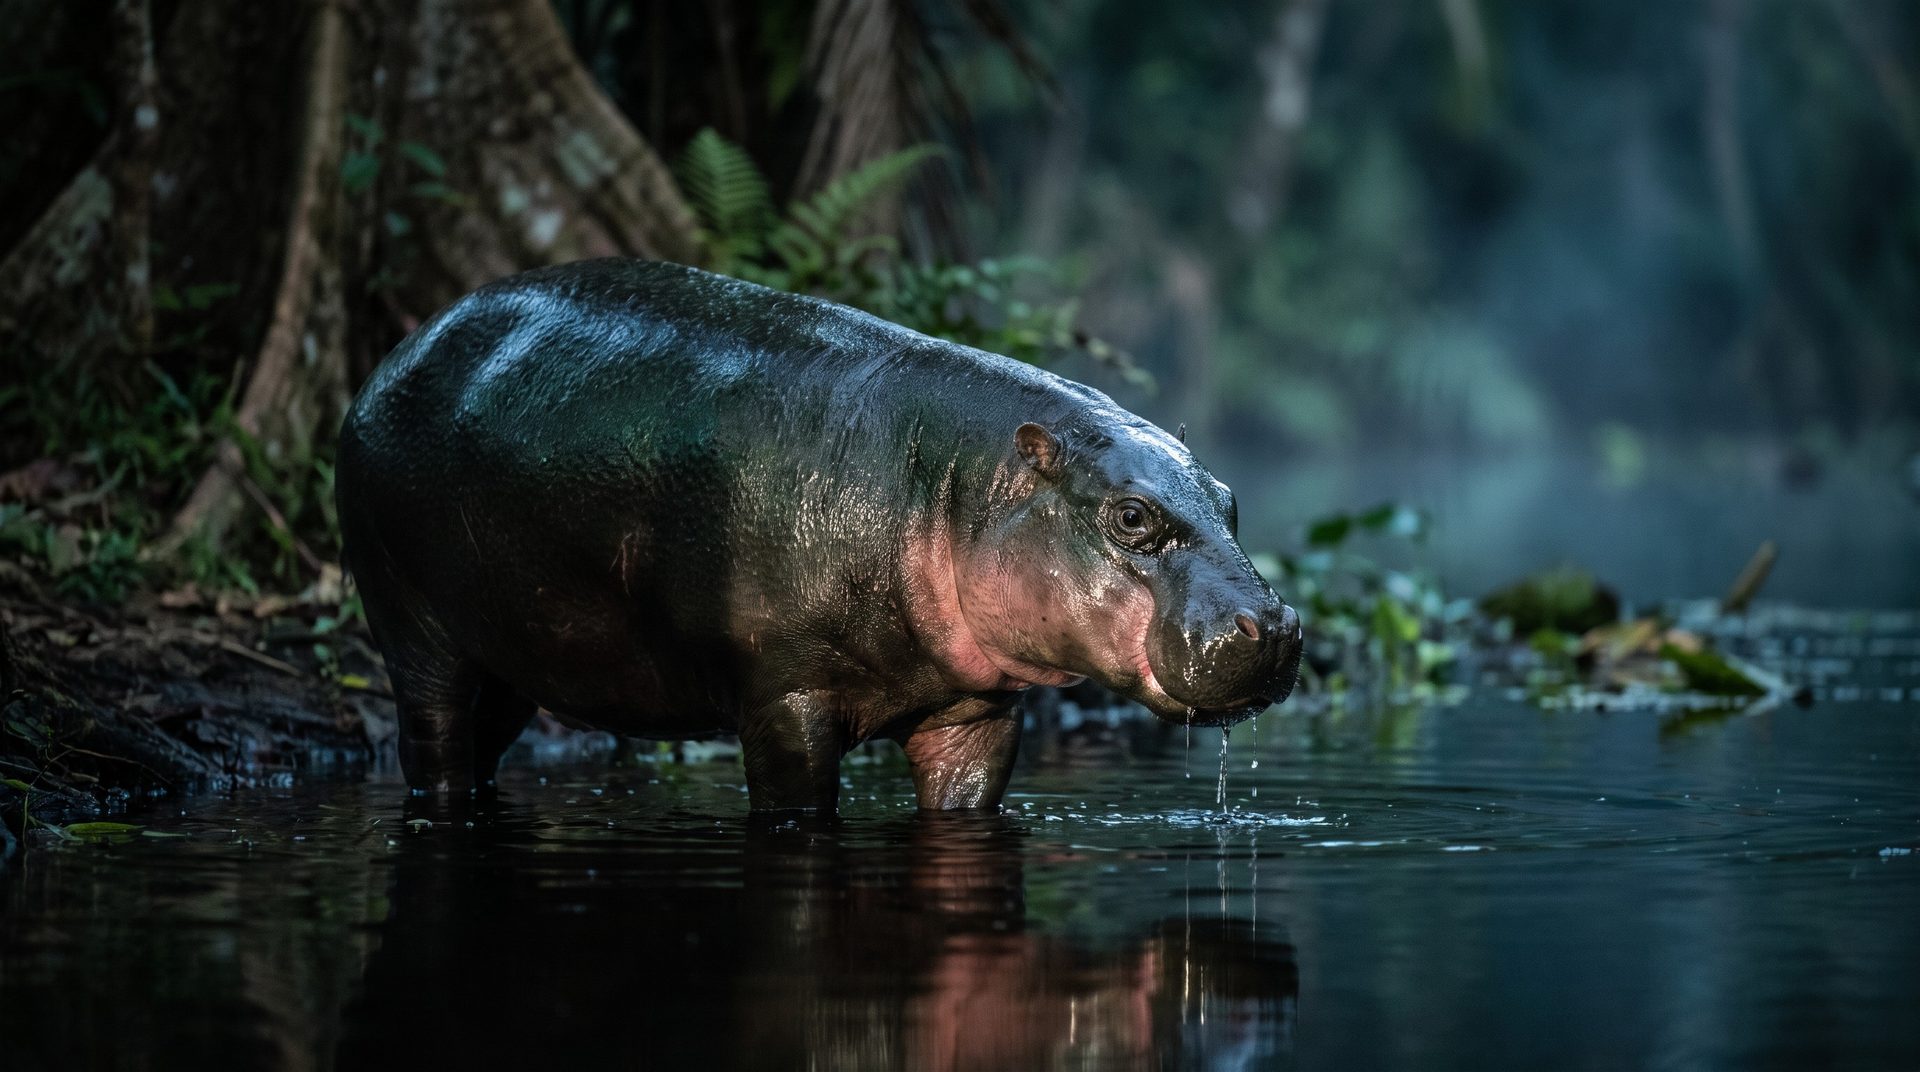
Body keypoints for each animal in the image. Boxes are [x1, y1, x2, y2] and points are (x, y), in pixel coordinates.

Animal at [336, 259, 1301, 811]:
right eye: (1131, 516)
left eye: (1228, 498)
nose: (1276, 626)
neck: (956, 484)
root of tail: (397, 354)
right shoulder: (784, 698)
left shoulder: (977, 712)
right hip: (412, 626)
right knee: (433, 739)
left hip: (513, 653)